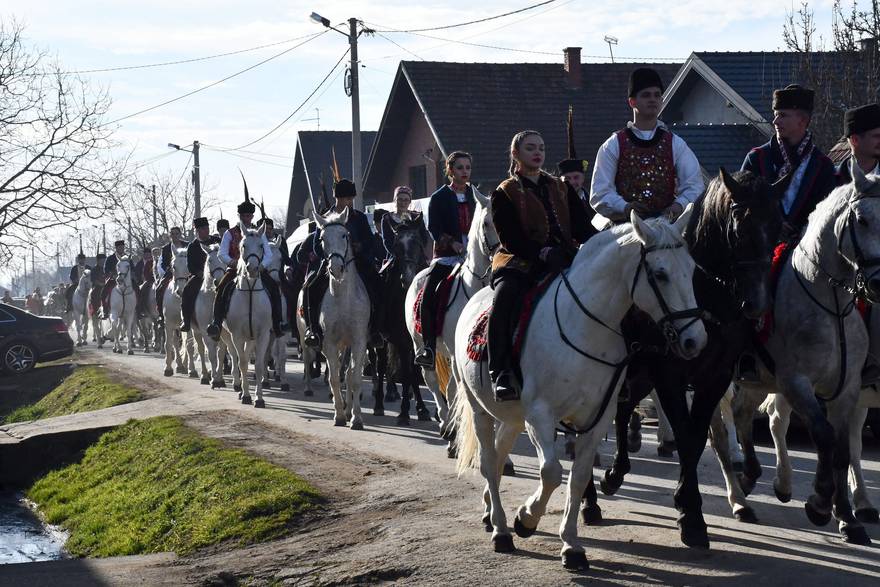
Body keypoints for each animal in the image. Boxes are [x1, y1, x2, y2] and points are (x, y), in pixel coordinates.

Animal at [223, 225, 272, 408]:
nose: (252, 269)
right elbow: (242, 362)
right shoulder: (236, 335)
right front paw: (246, 395)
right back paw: (237, 386)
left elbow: (258, 365)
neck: (250, 292)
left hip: (251, 337)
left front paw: (259, 398)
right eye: (243, 245)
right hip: (227, 335)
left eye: (261, 245)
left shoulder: (263, 334)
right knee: (234, 355)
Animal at [454, 210, 708, 568]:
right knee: (490, 461)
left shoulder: (596, 419)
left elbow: (578, 477)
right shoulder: (541, 416)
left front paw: (571, 544)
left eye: (691, 269)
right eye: (660, 274)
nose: (695, 340)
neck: (585, 325)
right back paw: (502, 529)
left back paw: (491, 511)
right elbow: (551, 473)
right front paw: (526, 519)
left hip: (512, 416)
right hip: (480, 409)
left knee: (501, 454)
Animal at [708, 162, 880, 548]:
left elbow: (843, 449)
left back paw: (757, 478)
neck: (830, 305)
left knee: (745, 414)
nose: (879, 281)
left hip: (757, 379)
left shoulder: (847, 390)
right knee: (723, 433)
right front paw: (819, 502)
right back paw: (740, 499)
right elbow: (824, 435)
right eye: (862, 220)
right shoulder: (797, 383)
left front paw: (848, 518)